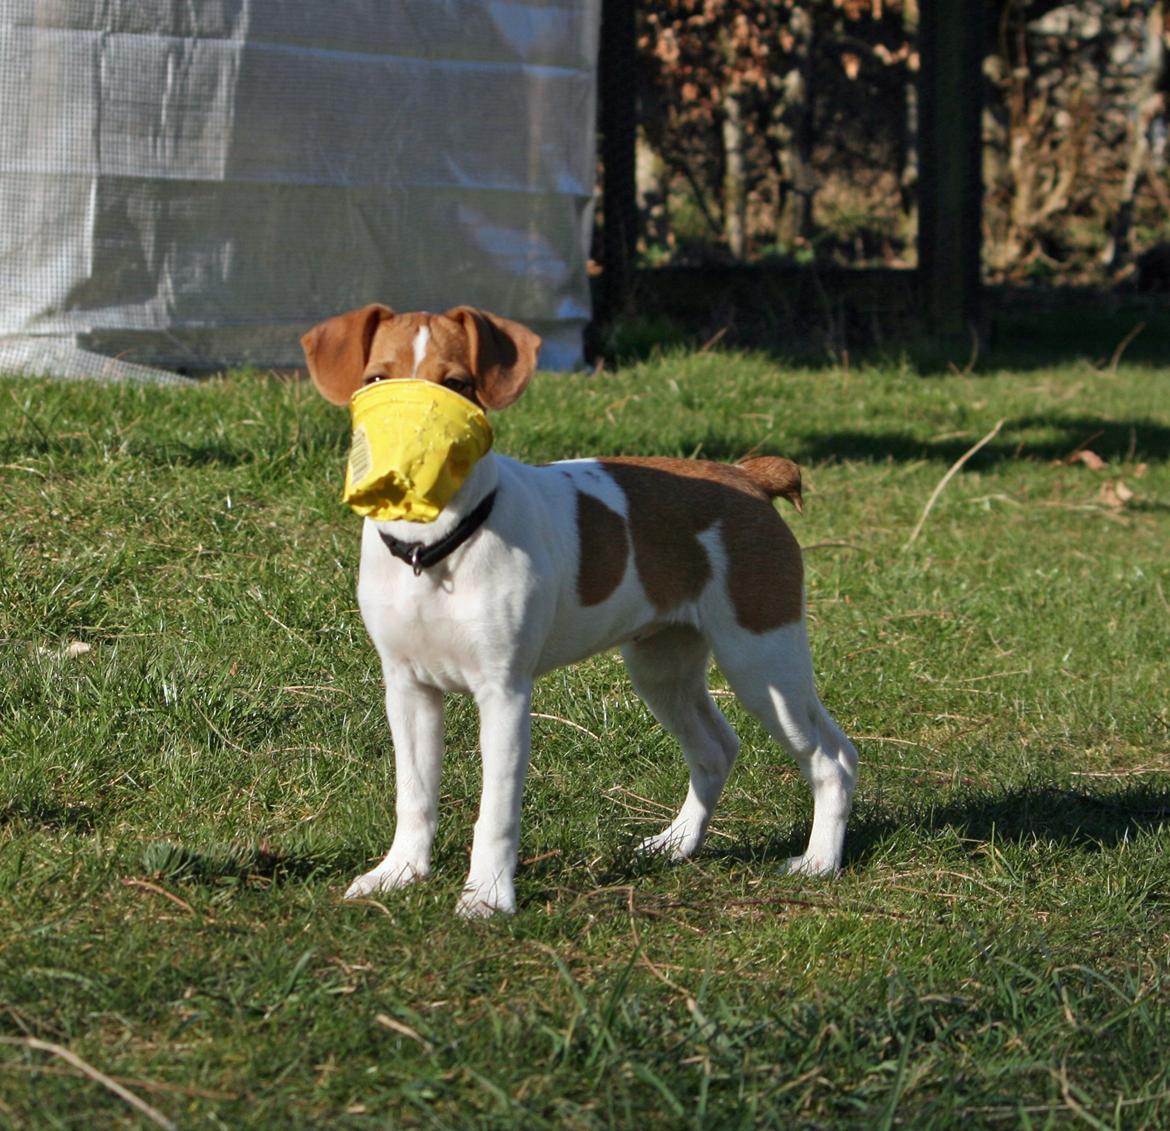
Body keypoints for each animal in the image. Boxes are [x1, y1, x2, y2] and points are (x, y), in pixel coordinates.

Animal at [301, 304, 861, 921]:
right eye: (377, 378)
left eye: (459, 384)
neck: (436, 550)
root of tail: (748, 476)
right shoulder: (408, 688)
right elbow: (415, 795)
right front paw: (399, 873)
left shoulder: (504, 693)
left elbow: (496, 812)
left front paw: (487, 896)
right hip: (662, 668)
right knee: (716, 749)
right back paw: (676, 844)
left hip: (762, 660)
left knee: (833, 758)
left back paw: (819, 862)